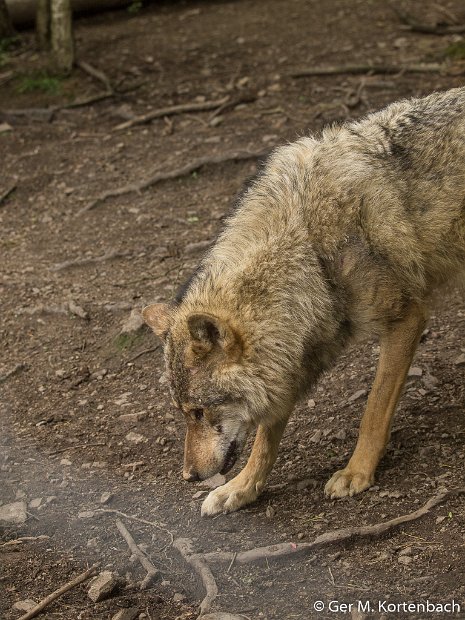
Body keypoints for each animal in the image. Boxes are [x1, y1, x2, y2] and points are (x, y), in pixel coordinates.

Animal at [143, 85, 462, 516]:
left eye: (199, 411)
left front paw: (357, 472)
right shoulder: (293, 353)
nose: (189, 476)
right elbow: (266, 436)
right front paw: (242, 487)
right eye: (183, 414)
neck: (306, 244)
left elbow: (373, 410)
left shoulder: (406, 318)